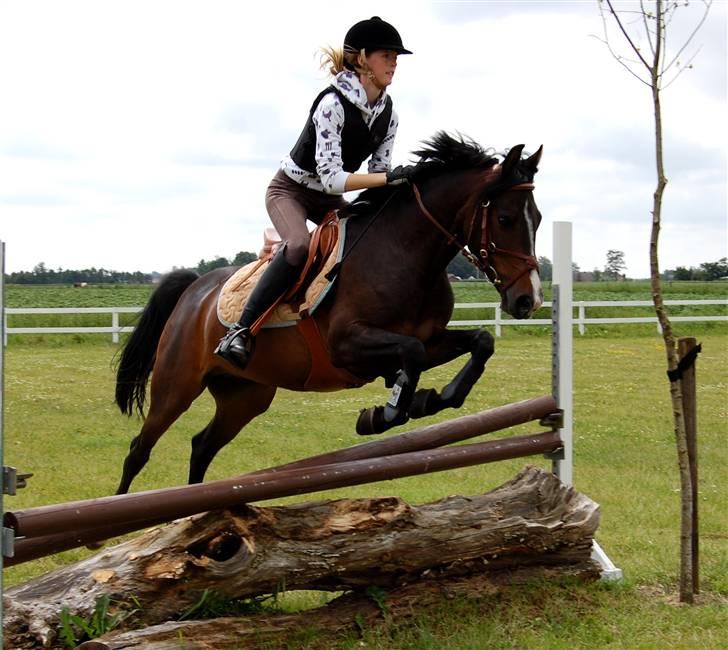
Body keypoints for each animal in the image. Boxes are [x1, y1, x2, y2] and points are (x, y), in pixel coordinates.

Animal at [115, 132, 540, 492]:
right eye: (505, 219)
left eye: (536, 219)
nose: (528, 300)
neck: (406, 255)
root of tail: (195, 288)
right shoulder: (347, 345)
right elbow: (412, 356)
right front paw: (385, 413)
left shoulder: (430, 339)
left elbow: (479, 342)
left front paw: (431, 398)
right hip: (176, 385)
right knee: (139, 448)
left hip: (245, 395)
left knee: (202, 445)